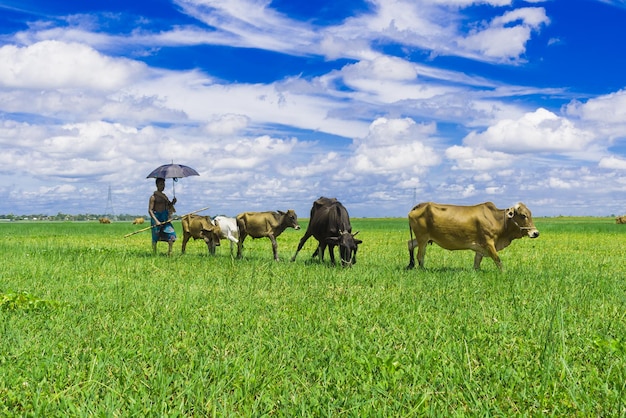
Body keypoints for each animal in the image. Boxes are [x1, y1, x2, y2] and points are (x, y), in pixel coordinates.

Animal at [404, 202, 536, 272]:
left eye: (530, 214)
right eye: (523, 215)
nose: (536, 233)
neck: (497, 219)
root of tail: (420, 205)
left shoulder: (480, 247)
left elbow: (477, 262)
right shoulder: (489, 243)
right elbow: (497, 260)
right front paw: (504, 273)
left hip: (424, 238)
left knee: (410, 243)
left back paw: (411, 265)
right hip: (423, 238)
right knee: (420, 255)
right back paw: (422, 269)